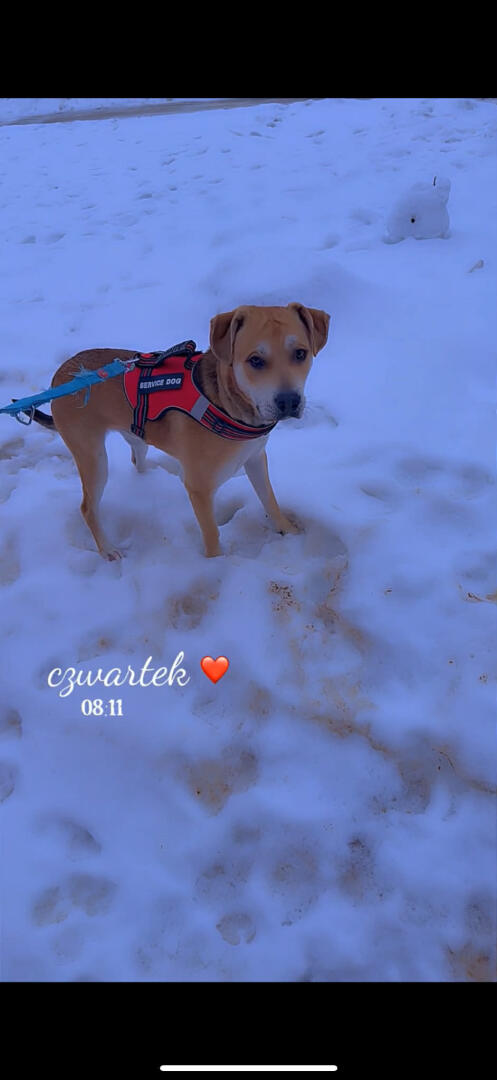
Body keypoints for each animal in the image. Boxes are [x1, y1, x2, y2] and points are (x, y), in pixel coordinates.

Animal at [35, 303, 330, 559]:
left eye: (300, 353)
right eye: (255, 360)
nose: (289, 401)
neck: (227, 404)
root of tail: (61, 376)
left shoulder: (256, 457)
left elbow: (269, 500)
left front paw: (287, 530)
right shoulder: (199, 488)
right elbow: (211, 534)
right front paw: (215, 565)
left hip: (137, 435)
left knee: (137, 458)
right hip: (93, 457)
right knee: (88, 507)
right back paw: (107, 549)